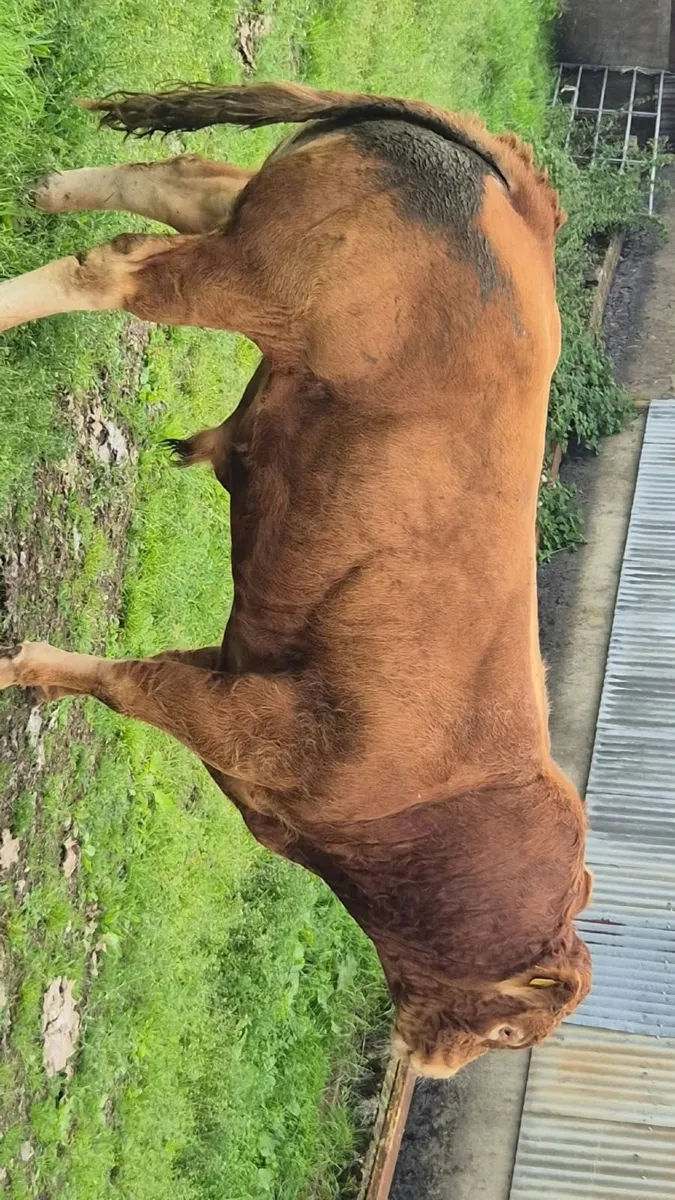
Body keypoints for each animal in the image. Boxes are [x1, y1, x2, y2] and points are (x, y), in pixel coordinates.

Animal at [0, 82, 592, 1077]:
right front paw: (20, 665)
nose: (431, 1067)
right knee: (112, 270)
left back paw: (48, 190)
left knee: (174, 181)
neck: (444, 804)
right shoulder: (249, 720)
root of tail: (521, 194)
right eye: (511, 1030)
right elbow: (130, 685)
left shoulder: (236, 668)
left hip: (258, 222)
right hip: (249, 282)